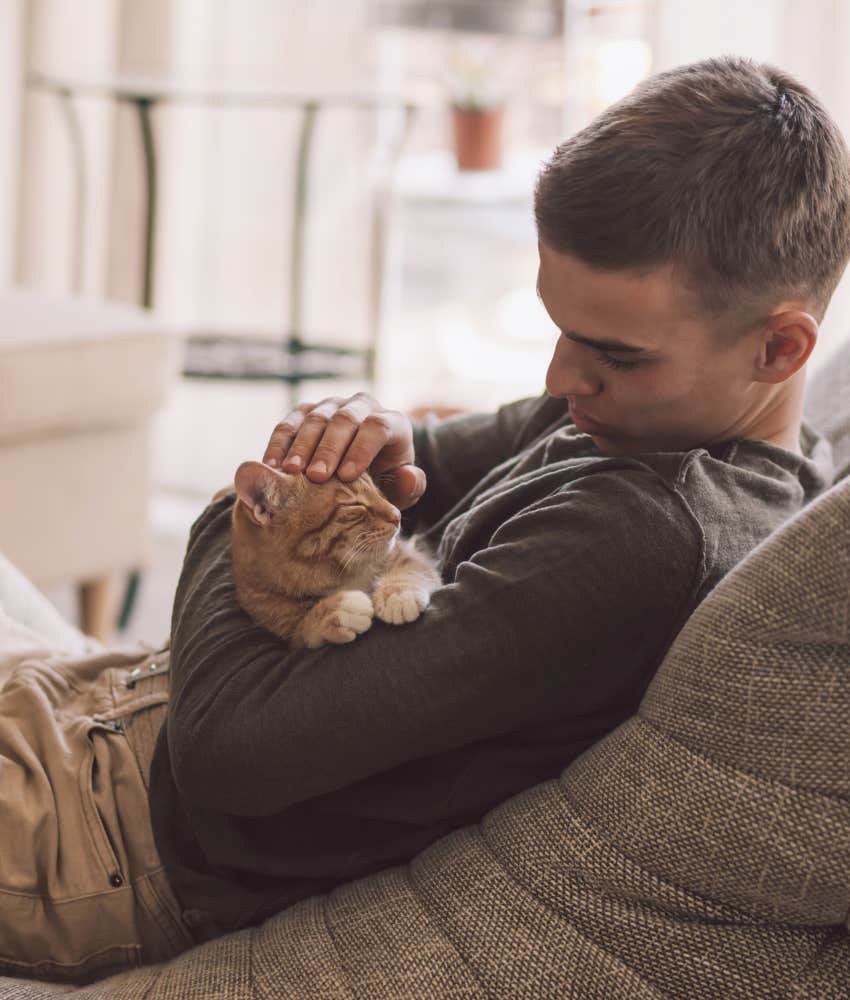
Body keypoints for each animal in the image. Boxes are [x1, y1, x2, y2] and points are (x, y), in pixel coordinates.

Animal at [222, 460, 440, 648]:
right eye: (354, 505)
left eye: (378, 492)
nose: (398, 515)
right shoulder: (283, 628)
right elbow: (301, 630)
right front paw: (333, 612)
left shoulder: (406, 553)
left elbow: (411, 567)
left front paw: (398, 593)